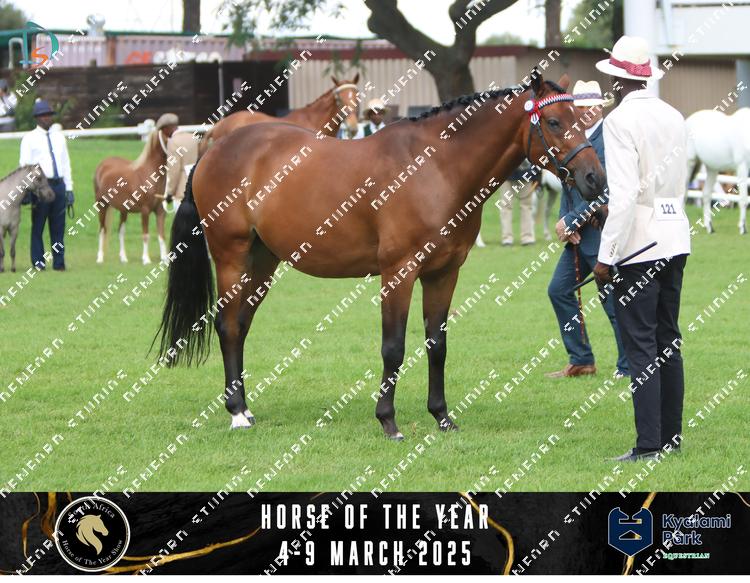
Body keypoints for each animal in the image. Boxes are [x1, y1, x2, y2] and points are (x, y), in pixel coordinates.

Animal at [94, 127, 174, 264]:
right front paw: (146, 259)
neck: (150, 175)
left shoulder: (160, 211)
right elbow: (146, 234)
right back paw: (99, 258)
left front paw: (164, 259)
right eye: (169, 133)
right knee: (102, 229)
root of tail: (102, 165)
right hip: (102, 205)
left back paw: (123, 258)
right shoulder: (145, 211)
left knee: (120, 231)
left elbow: (161, 235)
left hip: (123, 210)